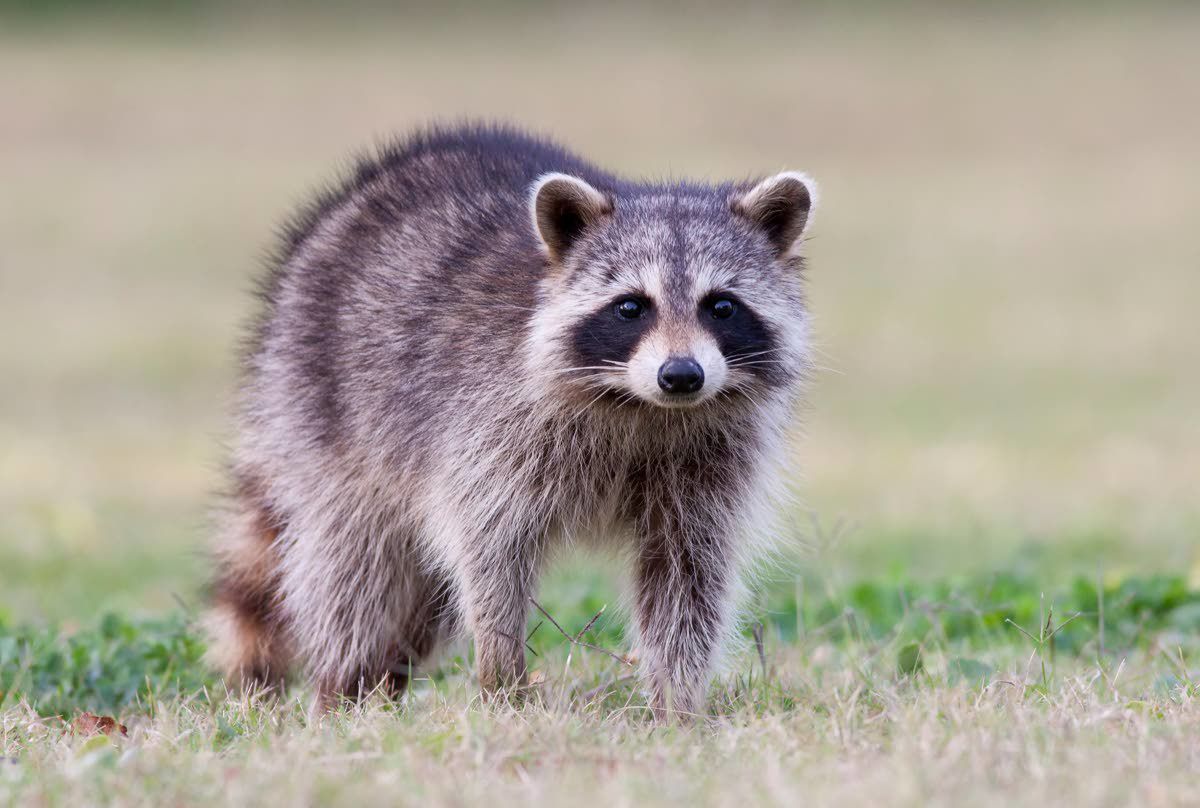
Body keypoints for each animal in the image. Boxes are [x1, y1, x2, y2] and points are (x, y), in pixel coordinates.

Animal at [205, 124, 817, 718]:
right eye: (630, 307)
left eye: (722, 306)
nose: (682, 375)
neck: (640, 405)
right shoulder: (489, 427)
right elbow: (487, 551)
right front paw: (503, 681)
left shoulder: (711, 465)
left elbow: (686, 577)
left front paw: (678, 705)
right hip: (324, 413)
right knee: (355, 570)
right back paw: (344, 689)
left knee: (417, 606)